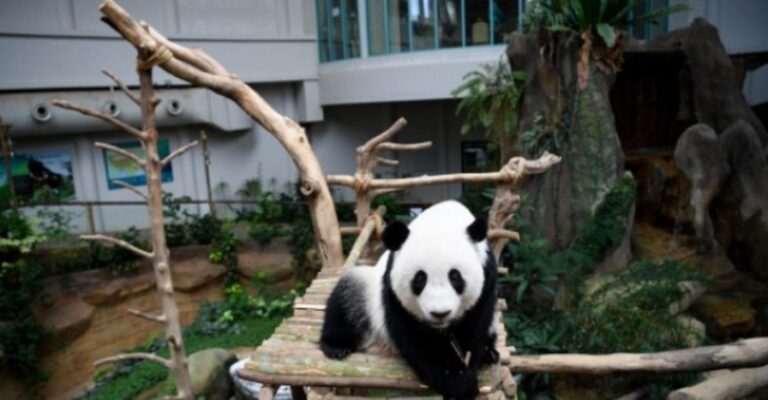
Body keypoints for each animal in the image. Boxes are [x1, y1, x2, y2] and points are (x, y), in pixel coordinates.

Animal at [320, 200, 499, 399]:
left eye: (455, 276)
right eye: (420, 278)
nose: (440, 313)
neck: (442, 219)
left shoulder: (487, 274)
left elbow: (475, 326)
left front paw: (463, 369)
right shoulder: (391, 285)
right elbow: (415, 336)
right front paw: (457, 381)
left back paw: (489, 354)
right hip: (367, 294)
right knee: (346, 297)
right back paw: (336, 345)